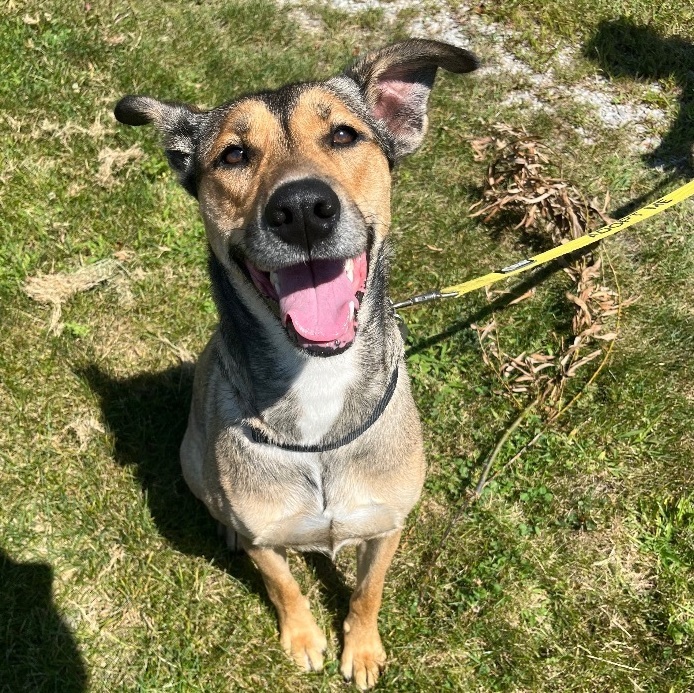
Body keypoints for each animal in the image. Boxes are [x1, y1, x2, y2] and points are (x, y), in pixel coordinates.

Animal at [115, 40, 478, 688]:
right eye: (234, 153)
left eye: (343, 134)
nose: (303, 208)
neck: (317, 381)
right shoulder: (267, 536)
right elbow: (283, 585)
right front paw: (305, 639)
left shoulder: (387, 524)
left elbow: (367, 591)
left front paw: (362, 648)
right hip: (191, 457)